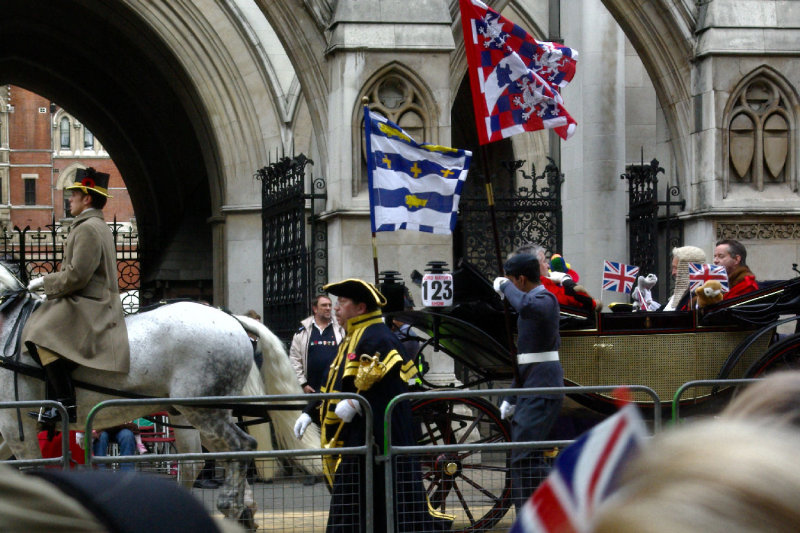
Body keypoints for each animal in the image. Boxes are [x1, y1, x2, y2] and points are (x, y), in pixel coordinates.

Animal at [0, 266, 322, 528]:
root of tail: (229, 317)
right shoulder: (8, 431)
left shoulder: (17, 427)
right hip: (197, 414)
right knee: (206, 460)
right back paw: (242, 511)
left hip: (202, 411)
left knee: (239, 447)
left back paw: (231, 507)